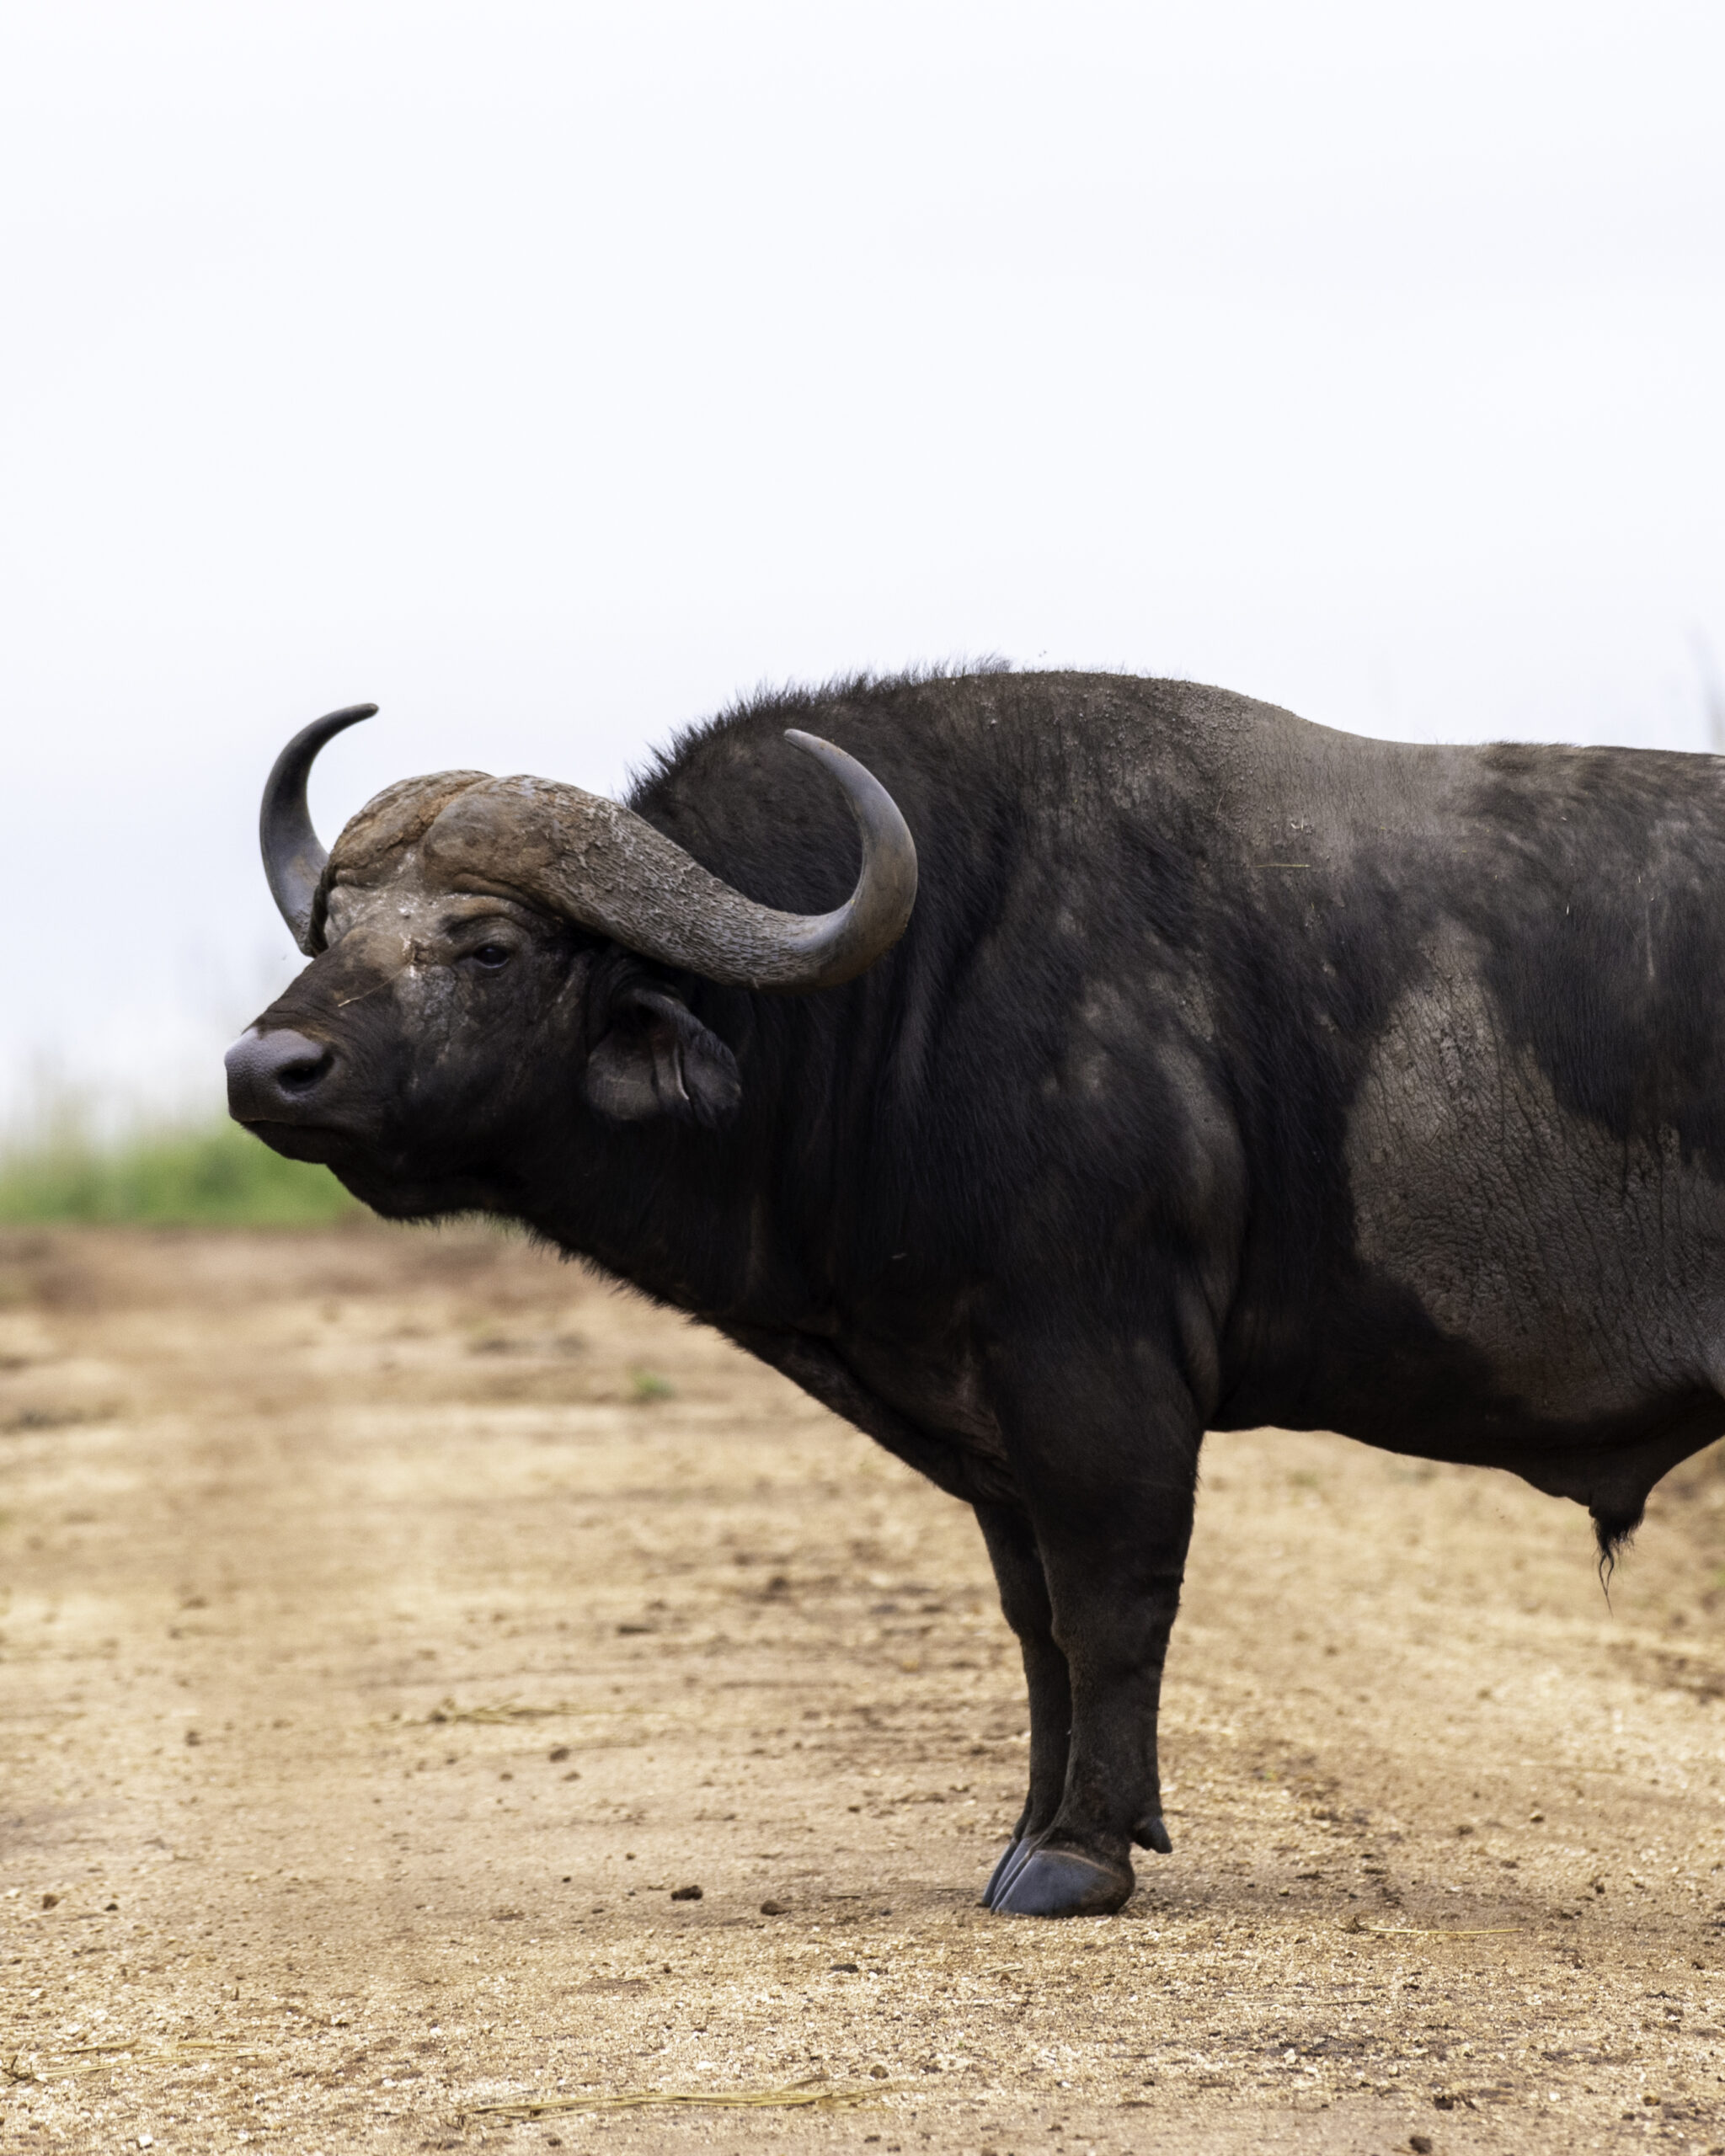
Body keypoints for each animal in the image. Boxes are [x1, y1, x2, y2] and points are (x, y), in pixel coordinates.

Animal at [227, 667, 1725, 1918]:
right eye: (333, 929)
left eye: (487, 947)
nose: (267, 1068)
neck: (916, 990)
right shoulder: (995, 1425)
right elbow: (1036, 1626)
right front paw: (1031, 1830)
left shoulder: (1098, 1381)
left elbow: (1110, 1607)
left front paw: (1082, 1858)